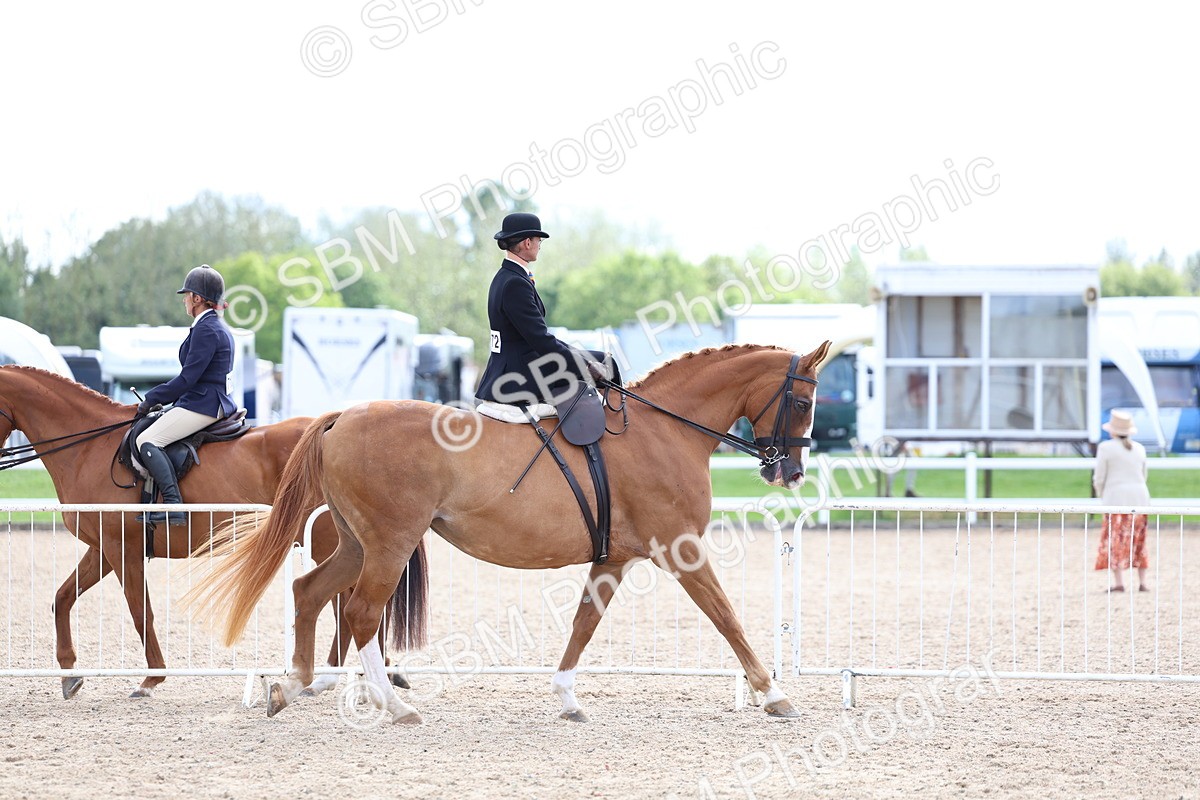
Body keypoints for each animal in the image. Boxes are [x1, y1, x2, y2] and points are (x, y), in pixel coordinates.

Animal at [0, 365, 423, 699]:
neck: (89, 448)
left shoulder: (123, 549)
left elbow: (139, 612)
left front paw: (151, 679)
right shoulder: (104, 549)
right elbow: (62, 599)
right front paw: (69, 675)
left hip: (326, 540)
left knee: (344, 604)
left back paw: (340, 677)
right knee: (347, 603)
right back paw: (369, 673)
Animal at [187, 341, 831, 723]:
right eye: (803, 402)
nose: (790, 472)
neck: (663, 430)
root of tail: (343, 415)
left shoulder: (614, 558)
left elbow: (584, 622)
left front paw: (567, 698)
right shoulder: (682, 549)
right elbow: (726, 615)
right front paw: (774, 694)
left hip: (355, 542)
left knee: (310, 593)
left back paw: (295, 686)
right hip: (390, 543)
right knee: (362, 613)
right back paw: (392, 705)